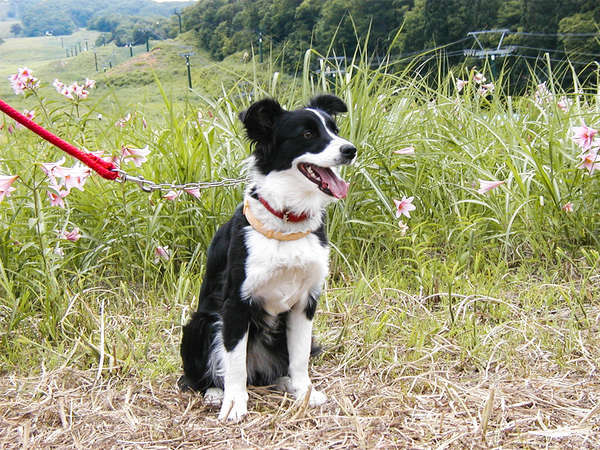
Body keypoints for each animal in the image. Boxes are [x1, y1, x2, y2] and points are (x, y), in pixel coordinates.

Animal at [178, 93, 356, 420]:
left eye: (334, 130)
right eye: (308, 134)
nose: (350, 150)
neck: (287, 220)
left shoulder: (305, 302)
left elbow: (299, 357)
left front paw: (303, 391)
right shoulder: (235, 304)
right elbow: (234, 363)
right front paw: (234, 402)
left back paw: (284, 382)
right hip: (202, 322)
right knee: (201, 375)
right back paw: (214, 392)